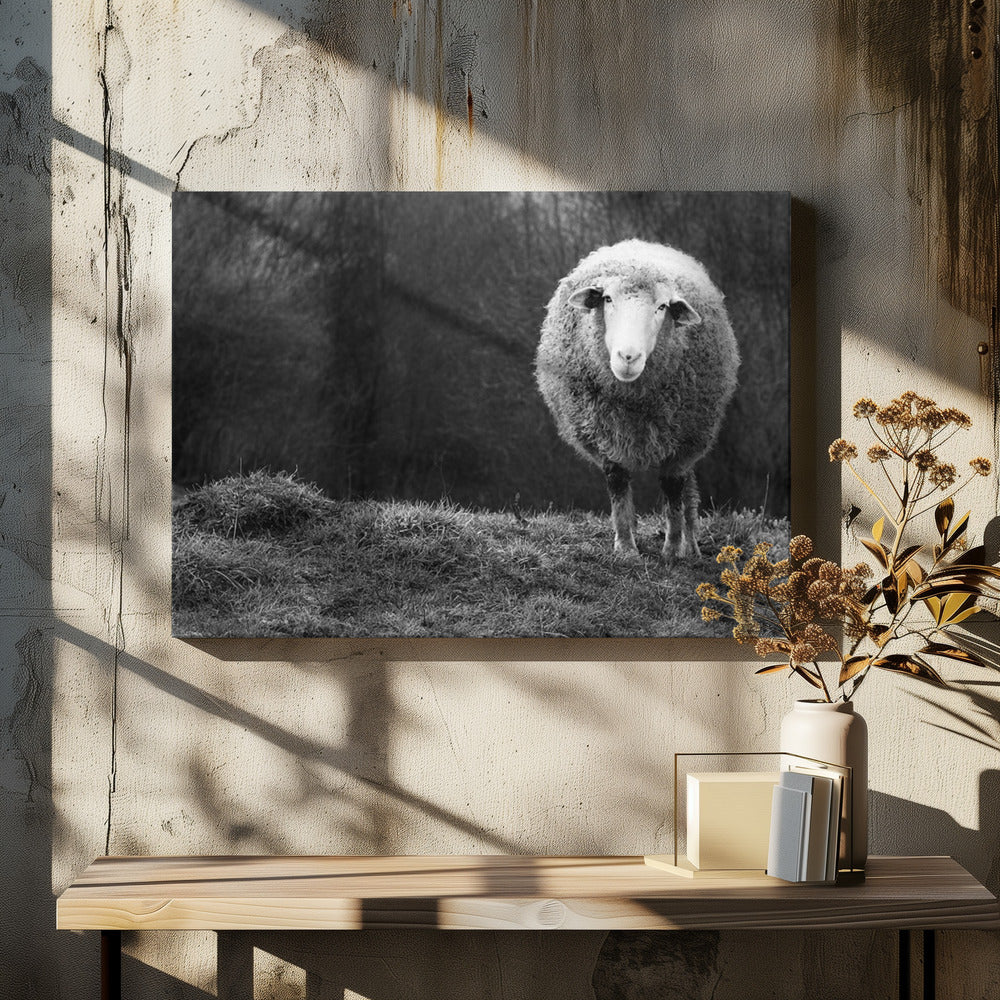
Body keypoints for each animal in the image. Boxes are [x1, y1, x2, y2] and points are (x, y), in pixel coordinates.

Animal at [535, 238, 739, 559]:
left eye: (662, 307)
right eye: (607, 299)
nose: (628, 357)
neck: (634, 401)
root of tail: (640, 244)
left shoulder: (682, 442)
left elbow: (673, 490)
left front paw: (672, 549)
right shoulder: (605, 434)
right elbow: (618, 484)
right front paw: (625, 547)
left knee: (688, 491)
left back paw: (691, 545)